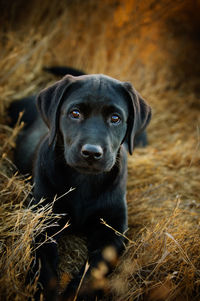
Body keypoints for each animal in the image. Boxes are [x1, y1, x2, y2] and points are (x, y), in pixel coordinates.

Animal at [10, 72, 152, 300]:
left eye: (115, 118)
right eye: (75, 113)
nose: (92, 152)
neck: (84, 181)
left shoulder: (113, 229)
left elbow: (97, 266)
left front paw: (77, 293)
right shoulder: (42, 220)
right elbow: (43, 265)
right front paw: (44, 292)